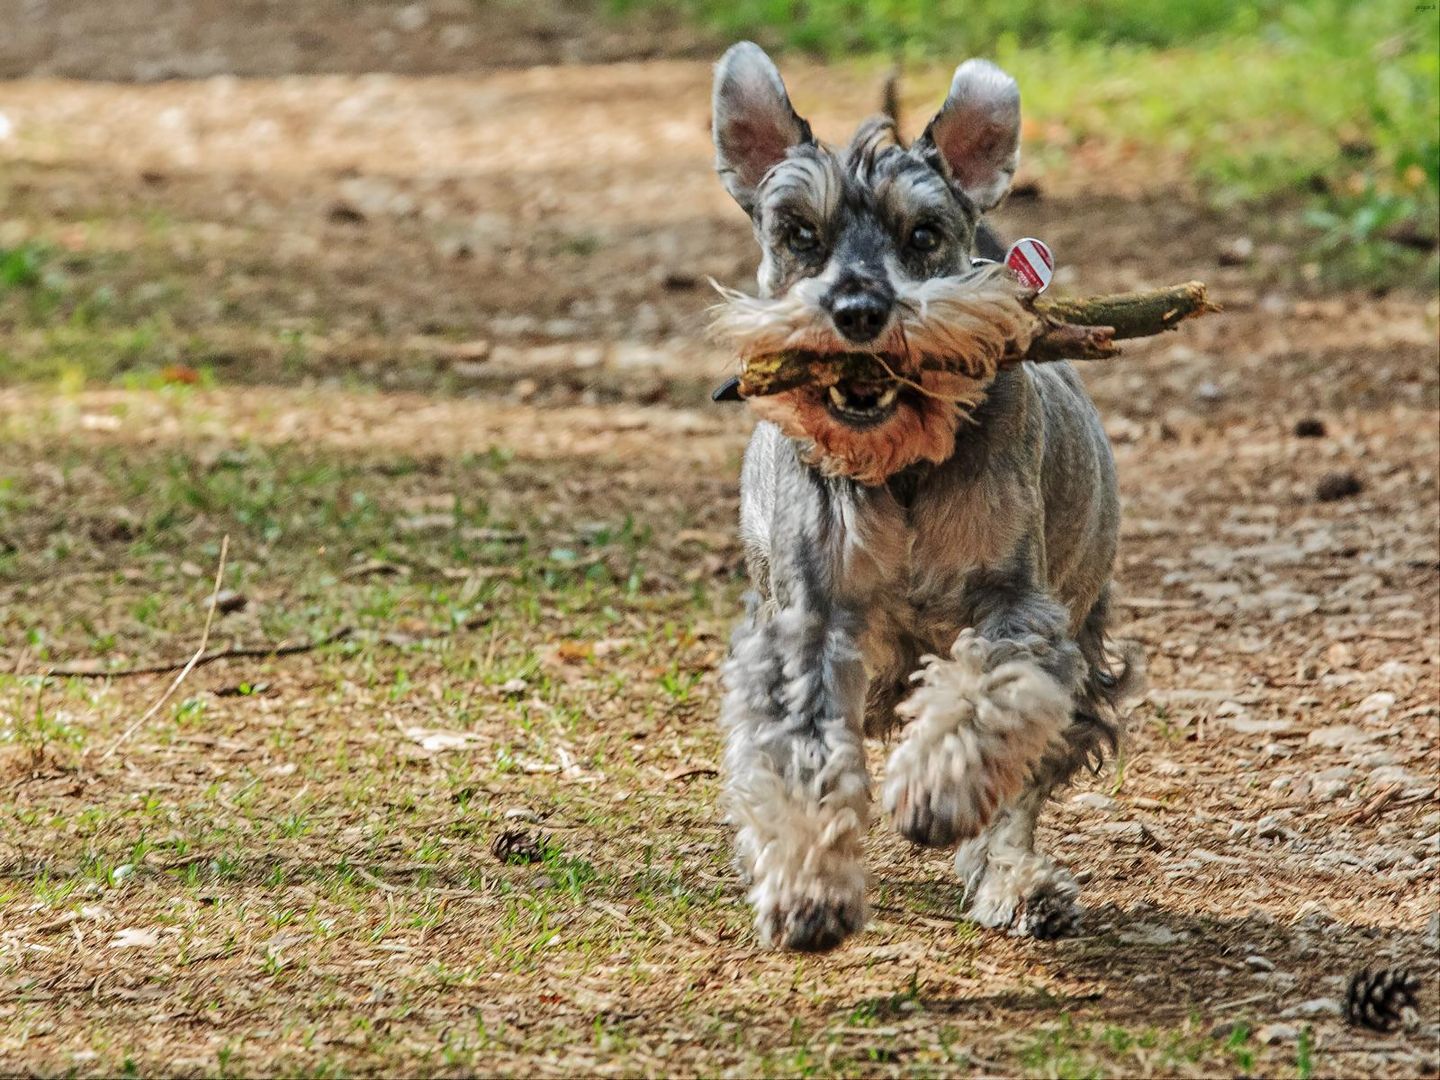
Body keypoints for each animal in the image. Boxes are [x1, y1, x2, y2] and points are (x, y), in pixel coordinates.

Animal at [708, 44, 1134, 956]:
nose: (859, 309)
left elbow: (987, 700)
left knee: (1022, 790)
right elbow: (803, 755)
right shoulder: (806, 622)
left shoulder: (1018, 609)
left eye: (923, 235)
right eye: (800, 234)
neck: (900, 464)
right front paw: (808, 889)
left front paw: (935, 791)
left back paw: (1017, 880)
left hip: (1083, 650)